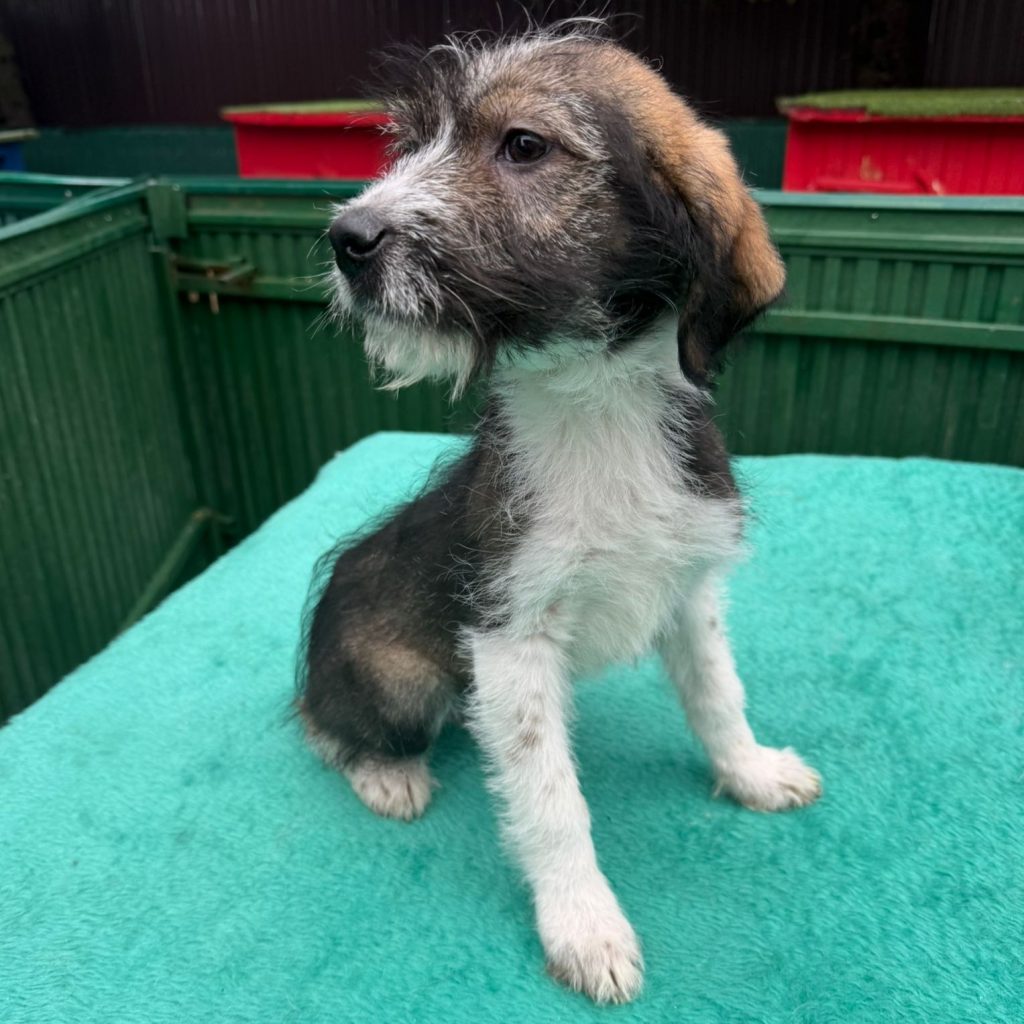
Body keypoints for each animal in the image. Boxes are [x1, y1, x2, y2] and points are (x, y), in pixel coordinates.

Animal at [298, 20, 821, 1004]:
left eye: (524, 146)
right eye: (409, 144)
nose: (346, 237)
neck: (594, 404)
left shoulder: (690, 591)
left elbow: (719, 696)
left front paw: (751, 772)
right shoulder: (510, 638)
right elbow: (550, 801)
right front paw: (585, 926)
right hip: (402, 679)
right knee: (325, 726)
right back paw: (386, 774)